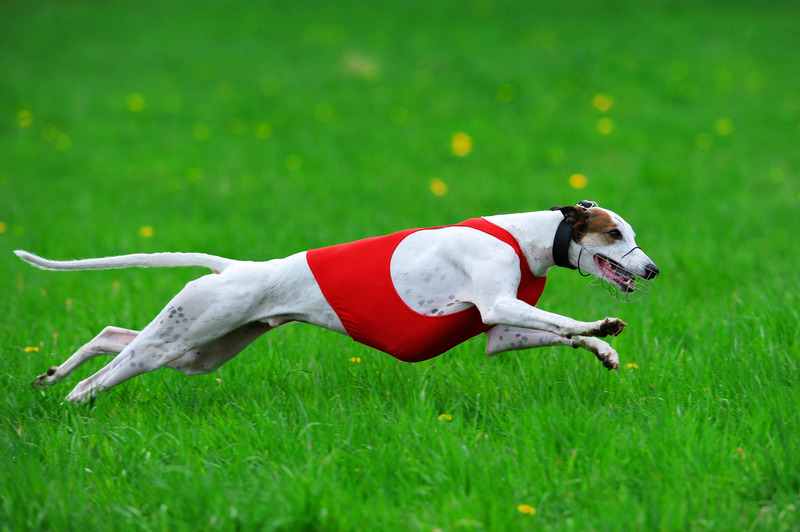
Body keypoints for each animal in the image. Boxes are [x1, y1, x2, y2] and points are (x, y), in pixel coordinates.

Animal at [15, 201, 660, 404]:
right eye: (614, 234)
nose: (652, 268)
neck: (529, 237)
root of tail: (233, 270)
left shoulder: (501, 333)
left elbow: (559, 333)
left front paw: (603, 349)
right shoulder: (500, 305)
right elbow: (564, 320)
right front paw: (602, 323)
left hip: (201, 350)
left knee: (112, 336)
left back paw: (53, 377)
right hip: (186, 334)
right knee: (111, 369)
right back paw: (72, 398)